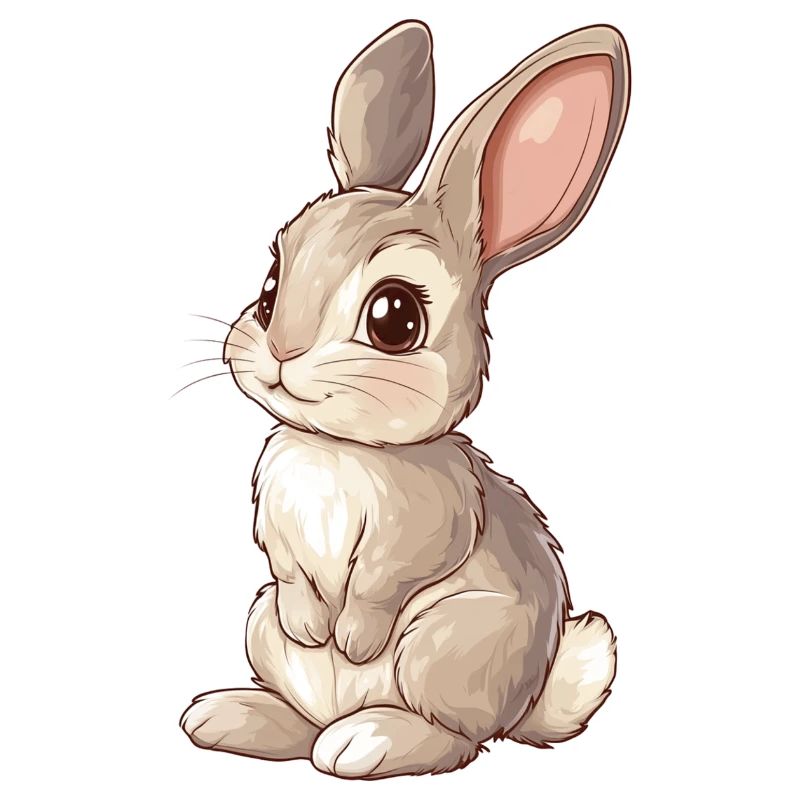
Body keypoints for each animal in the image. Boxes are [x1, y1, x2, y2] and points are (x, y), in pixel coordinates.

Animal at [180, 20, 630, 779]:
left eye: (395, 318)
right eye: (271, 284)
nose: (279, 354)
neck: (341, 448)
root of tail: (527, 701)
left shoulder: (423, 531)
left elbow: (382, 582)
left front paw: (353, 639)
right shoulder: (278, 540)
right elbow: (293, 573)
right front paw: (314, 628)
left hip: (444, 645)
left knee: (457, 739)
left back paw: (365, 743)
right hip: (261, 624)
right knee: (305, 717)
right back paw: (229, 717)